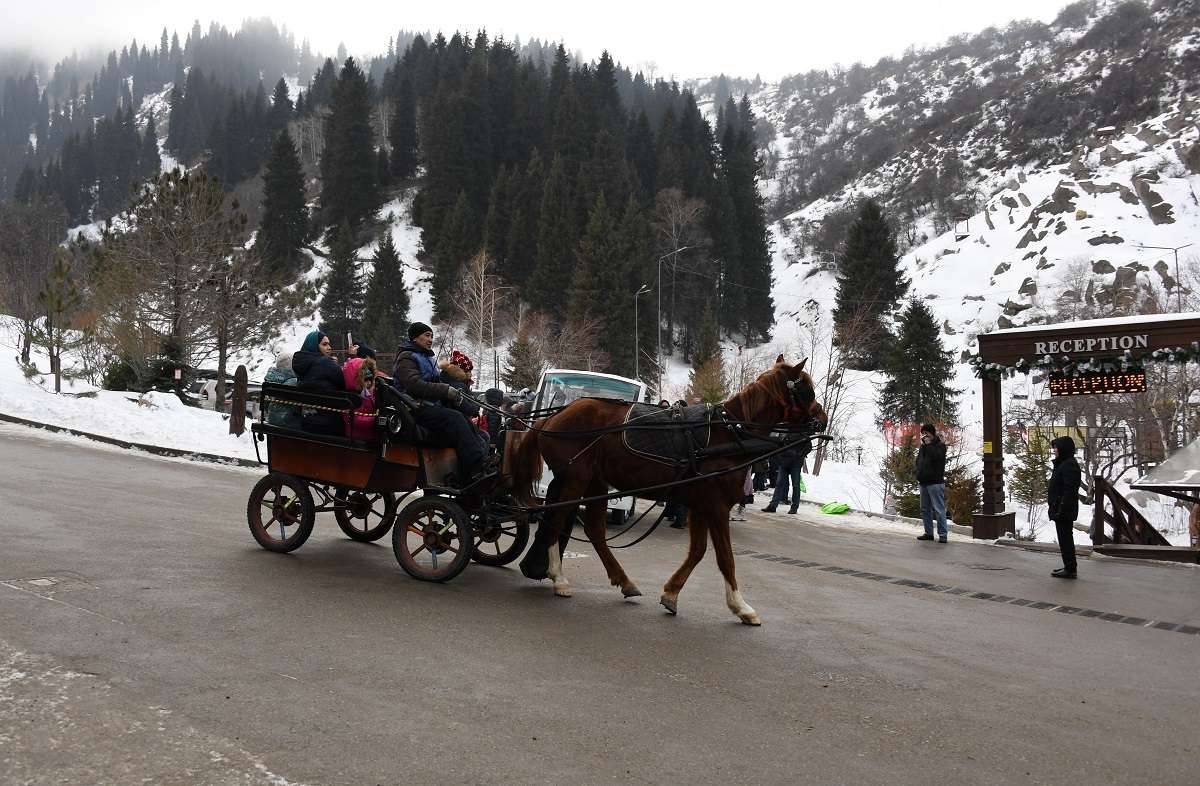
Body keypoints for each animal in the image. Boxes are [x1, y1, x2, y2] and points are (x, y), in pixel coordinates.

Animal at [506, 357, 825, 628]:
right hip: (576, 480)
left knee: (594, 530)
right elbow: (725, 558)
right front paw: (741, 607)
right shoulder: (717, 506)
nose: (821, 418)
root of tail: (550, 419)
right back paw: (558, 577)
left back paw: (623, 581)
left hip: (595, 482)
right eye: (806, 389)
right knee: (557, 520)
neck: (729, 434)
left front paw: (671, 593)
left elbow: (698, 551)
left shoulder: (700, 505)